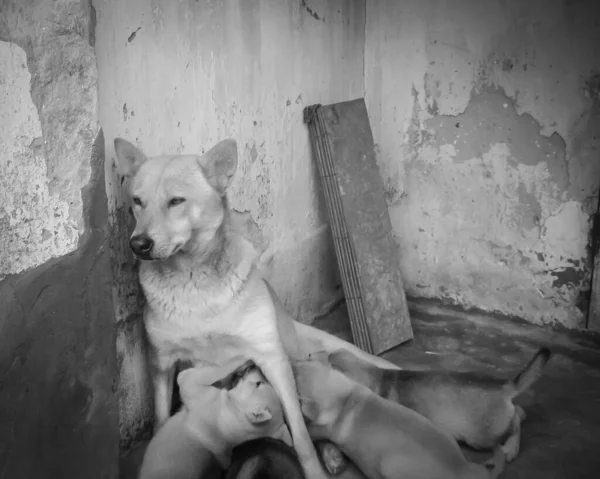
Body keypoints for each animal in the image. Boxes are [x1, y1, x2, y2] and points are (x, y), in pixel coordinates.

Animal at [292, 358, 504, 479]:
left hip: (390, 467)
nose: (292, 362)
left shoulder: (322, 428)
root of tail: (462, 467)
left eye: (296, 378)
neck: (345, 395)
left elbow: (310, 431)